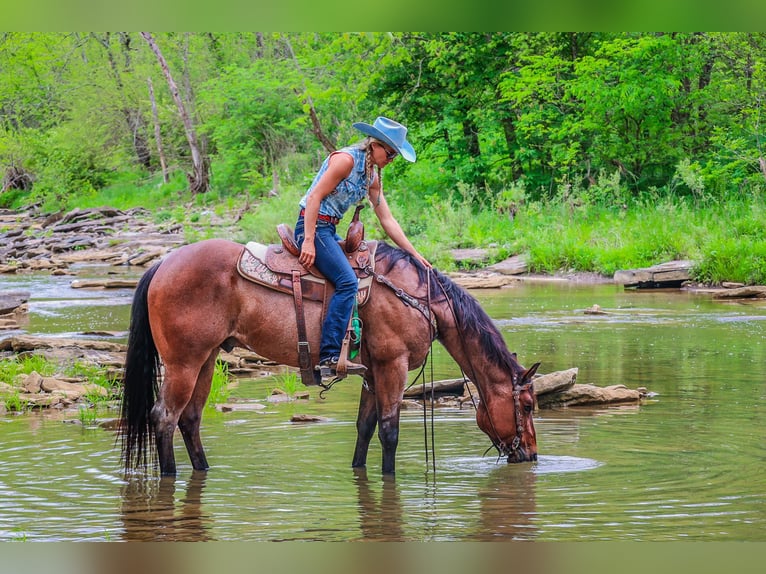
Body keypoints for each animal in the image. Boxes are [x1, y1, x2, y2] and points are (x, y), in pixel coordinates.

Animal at [120, 238, 540, 476]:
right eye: (528, 405)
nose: (532, 455)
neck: (419, 298)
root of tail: (162, 264)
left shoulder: (372, 372)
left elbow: (365, 428)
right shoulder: (394, 365)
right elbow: (389, 432)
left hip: (206, 360)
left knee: (189, 419)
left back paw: (204, 471)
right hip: (183, 363)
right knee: (164, 417)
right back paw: (170, 477)